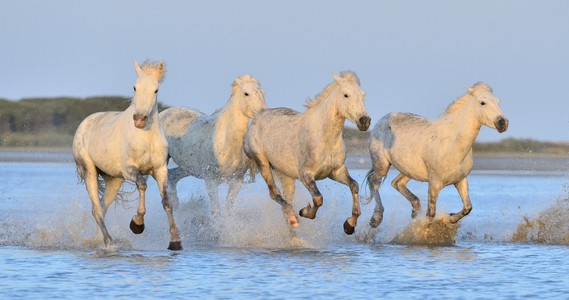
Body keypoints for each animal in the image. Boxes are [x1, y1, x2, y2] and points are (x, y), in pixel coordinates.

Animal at [72, 61, 181, 251]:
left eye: (156, 89)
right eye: (135, 87)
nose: (139, 119)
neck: (146, 137)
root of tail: (84, 123)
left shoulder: (160, 170)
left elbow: (167, 201)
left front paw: (175, 241)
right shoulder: (130, 170)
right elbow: (142, 184)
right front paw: (137, 224)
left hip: (114, 179)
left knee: (102, 206)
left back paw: (100, 240)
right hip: (89, 170)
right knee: (96, 209)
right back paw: (109, 242)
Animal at [160, 75, 266, 211]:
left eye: (261, 92)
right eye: (246, 93)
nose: (263, 112)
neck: (227, 143)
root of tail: (163, 113)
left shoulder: (236, 181)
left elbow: (228, 210)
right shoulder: (210, 181)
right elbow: (216, 210)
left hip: (188, 168)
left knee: (172, 176)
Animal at [243, 72, 368, 234]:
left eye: (363, 95)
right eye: (346, 95)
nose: (365, 121)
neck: (324, 137)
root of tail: (258, 115)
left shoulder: (336, 171)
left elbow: (354, 186)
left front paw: (349, 225)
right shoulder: (306, 175)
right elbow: (318, 199)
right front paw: (304, 211)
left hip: (284, 174)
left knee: (286, 197)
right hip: (262, 163)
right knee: (274, 193)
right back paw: (293, 218)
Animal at [366, 82, 508, 227]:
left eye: (498, 102)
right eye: (482, 102)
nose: (503, 123)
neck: (452, 144)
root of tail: (382, 119)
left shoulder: (461, 180)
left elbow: (467, 208)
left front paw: (449, 219)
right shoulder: (434, 182)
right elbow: (430, 215)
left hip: (408, 170)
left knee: (396, 183)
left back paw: (415, 210)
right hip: (382, 165)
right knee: (373, 182)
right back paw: (376, 219)